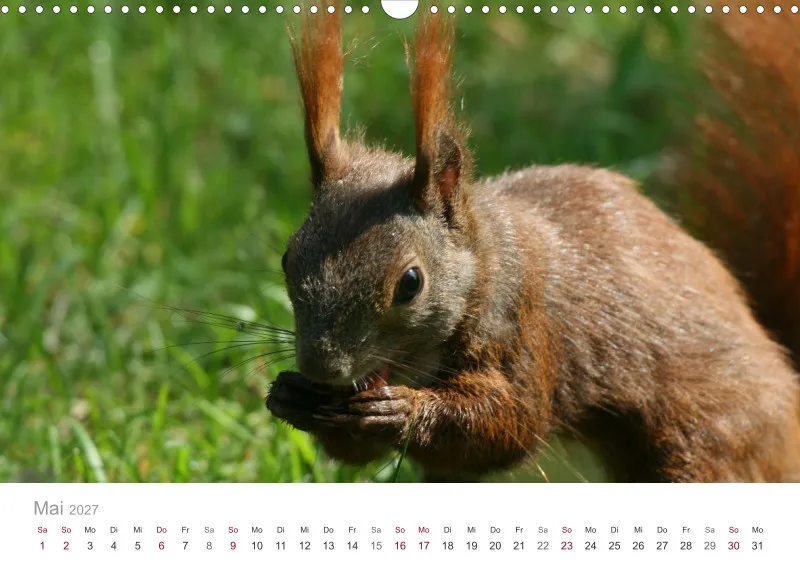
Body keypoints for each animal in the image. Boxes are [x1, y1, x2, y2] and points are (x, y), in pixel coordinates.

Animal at [266, 6, 800, 482]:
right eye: (287, 259)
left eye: (410, 282)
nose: (322, 367)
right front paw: (291, 395)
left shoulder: (524, 327)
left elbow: (510, 423)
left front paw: (404, 409)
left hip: (707, 442)